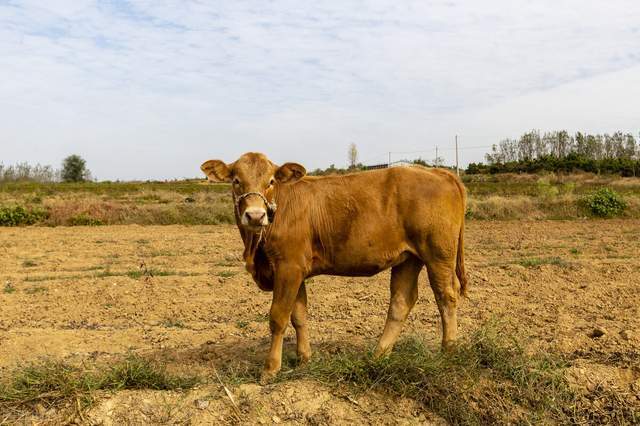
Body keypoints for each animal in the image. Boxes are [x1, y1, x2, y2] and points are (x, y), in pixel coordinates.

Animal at [202, 151, 468, 382]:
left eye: (271, 181)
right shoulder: (296, 269)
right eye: (236, 181)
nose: (256, 216)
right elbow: (299, 315)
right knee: (401, 302)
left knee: (446, 296)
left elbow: (278, 317)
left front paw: (270, 369)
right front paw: (304, 359)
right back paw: (378, 356)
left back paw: (448, 351)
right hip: (408, 258)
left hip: (438, 254)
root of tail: (438, 172)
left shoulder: (288, 267)